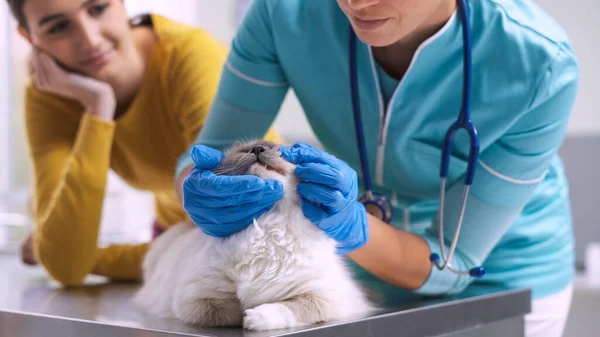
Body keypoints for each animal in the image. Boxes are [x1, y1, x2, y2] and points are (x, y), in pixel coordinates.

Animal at [135, 140, 376, 330]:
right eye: (247, 150)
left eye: (279, 150)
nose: (258, 149)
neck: (265, 224)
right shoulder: (197, 298)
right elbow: (230, 311)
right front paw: (246, 312)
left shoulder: (321, 297)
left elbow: (286, 308)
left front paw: (255, 316)